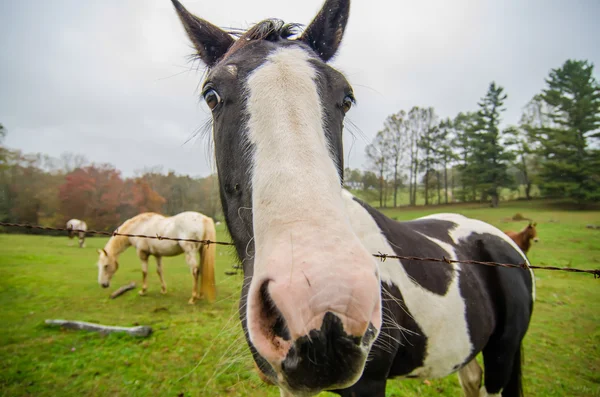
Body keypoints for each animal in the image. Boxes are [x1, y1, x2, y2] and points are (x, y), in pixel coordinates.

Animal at [170, 0, 536, 394]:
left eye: (346, 98)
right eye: (212, 95)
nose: (323, 311)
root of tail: (505, 243)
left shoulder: (369, 382)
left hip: (502, 354)